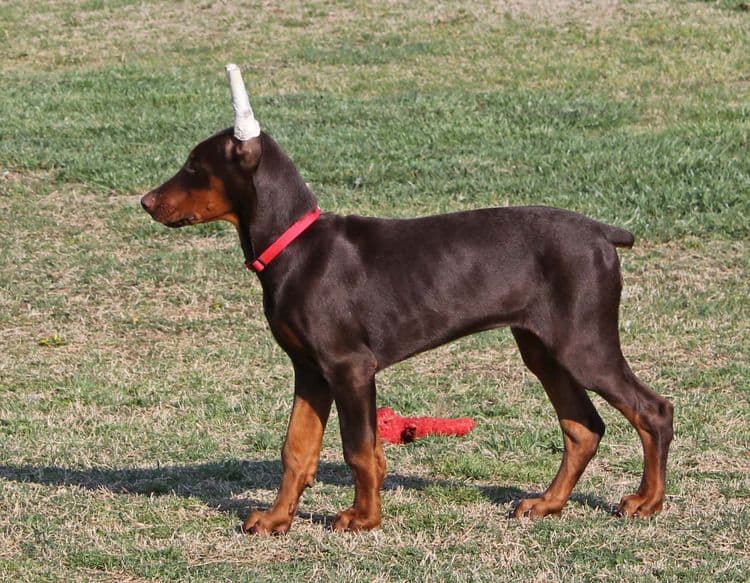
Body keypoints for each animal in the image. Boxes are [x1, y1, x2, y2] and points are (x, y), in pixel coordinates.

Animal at [140, 66, 676, 536]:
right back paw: (547, 503)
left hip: (584, 344)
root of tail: (602, 233)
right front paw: (276, 521)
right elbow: (297, 449)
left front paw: (363, 519)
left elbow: (358, 449)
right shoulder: (310, 370)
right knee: (583, 427)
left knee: (653, 410)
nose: (145, 202)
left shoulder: (349, 367)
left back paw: (647, 501)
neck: (294, 245)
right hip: (543, 349)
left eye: (194, 165)